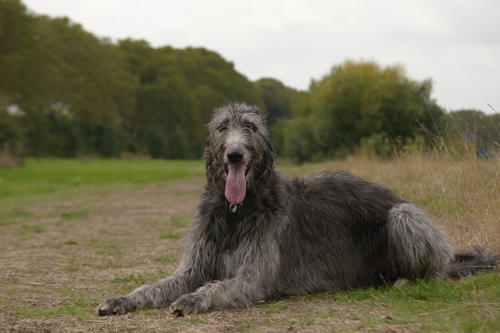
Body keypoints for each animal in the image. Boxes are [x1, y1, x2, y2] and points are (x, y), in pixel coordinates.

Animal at [97, 102, 496, 316]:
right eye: (223, 127)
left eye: (250, 127)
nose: (235, 154)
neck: (236, 211)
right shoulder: (195, 263)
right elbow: (158, 284)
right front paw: (121, 299)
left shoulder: (254, 278)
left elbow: (215, 287)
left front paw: (191, 299)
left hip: (404, 216)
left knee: (432, 270)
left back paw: (404, 280)